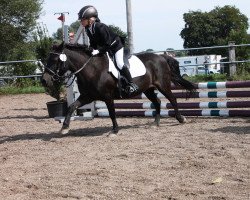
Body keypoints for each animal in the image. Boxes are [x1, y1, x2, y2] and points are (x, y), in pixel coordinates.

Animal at [41, 43, 195, 134]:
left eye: (56, 60)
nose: (44, 80)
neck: (91, 69)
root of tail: (162, 57)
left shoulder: (107, 96)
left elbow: (112, 113)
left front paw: (115, 130)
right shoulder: (87, 96)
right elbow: (71, 106)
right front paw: (64, 127)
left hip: (163, 85)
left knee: (172, 99)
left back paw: (181, 119)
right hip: (148, 89)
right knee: (157, 102)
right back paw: (155, 123)